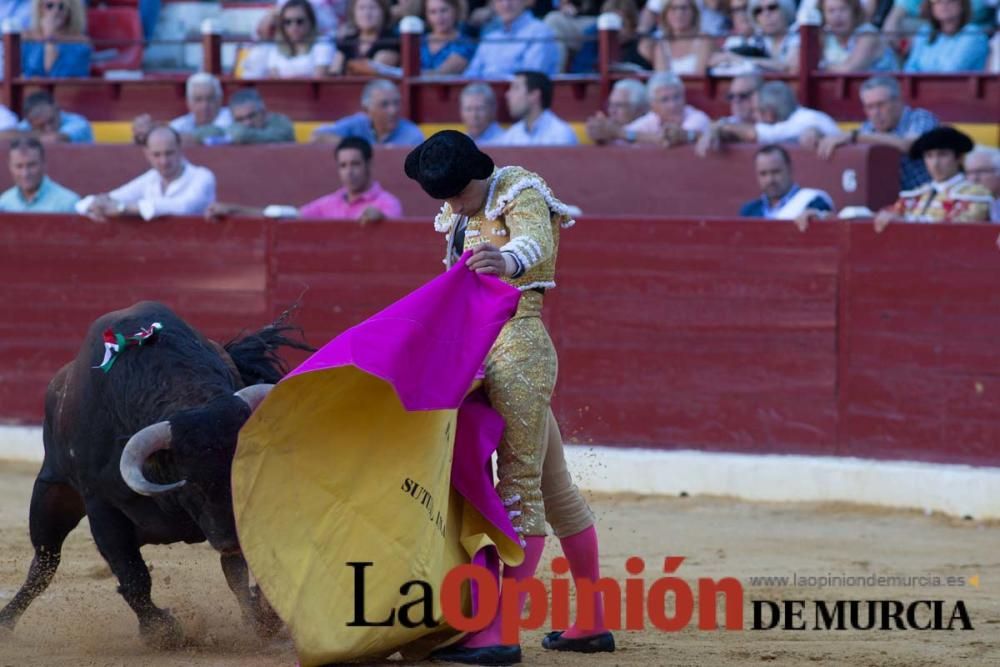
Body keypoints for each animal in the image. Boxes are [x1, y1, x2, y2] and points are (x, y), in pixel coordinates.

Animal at [0, 302, 312, 648]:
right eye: (194, 486)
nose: (231, 538)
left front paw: (264, 616)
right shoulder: (102, 508)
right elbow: (132, 575)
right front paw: (161, 630)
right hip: (51, 496)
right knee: (44, 564)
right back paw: (6, 622)